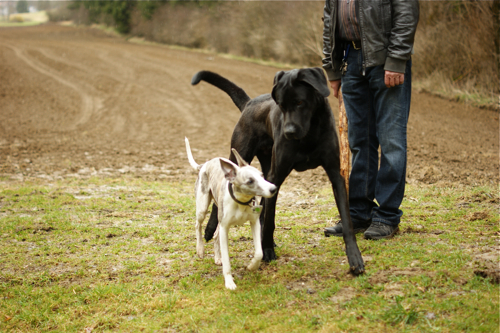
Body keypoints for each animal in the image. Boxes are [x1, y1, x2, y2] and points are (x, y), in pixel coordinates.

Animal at [186, 137, 278, 288]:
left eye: (262, 175)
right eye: (250, 181)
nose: (273, 188)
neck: (242, 202)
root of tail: (205, 164)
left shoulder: (255, 223)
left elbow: (259, 252)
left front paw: (252, 266)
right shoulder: (225, 228)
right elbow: (227, 260)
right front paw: (229, 283)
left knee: (215, 235)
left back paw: (217, 258)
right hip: (202, 208)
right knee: (198, 225)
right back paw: (200, 250)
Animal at [191, 68, 364, 274]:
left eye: (300, 102)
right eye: (280, 105)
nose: (288, 132)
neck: (309, 133)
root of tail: (249, 102)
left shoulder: (336, 175)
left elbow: (346, 219)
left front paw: (355, 258)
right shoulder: (276, 176)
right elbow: (270, 220)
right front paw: (266, 250)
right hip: (240, 155)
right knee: (221, 194)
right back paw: (210, 230)